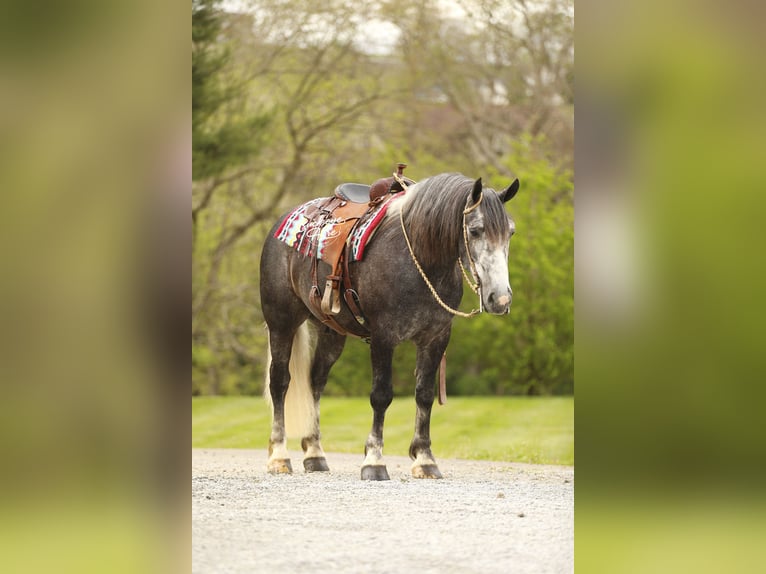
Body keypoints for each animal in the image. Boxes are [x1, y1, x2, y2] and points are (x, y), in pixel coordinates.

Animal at [259, 172, 520, 480]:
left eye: (510, 232)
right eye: (476, 230)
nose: (500, 299)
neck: (419, 259)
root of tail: (282, 223)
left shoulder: (436, 338)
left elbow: (425, 395)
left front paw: (425, 459)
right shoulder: (384, 337)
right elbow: (381, 395)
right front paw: (374, 460)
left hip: (331, 333)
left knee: (316, 382)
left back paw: (315, 453)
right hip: (281, 322)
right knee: (280, 381)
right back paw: (279, 456)